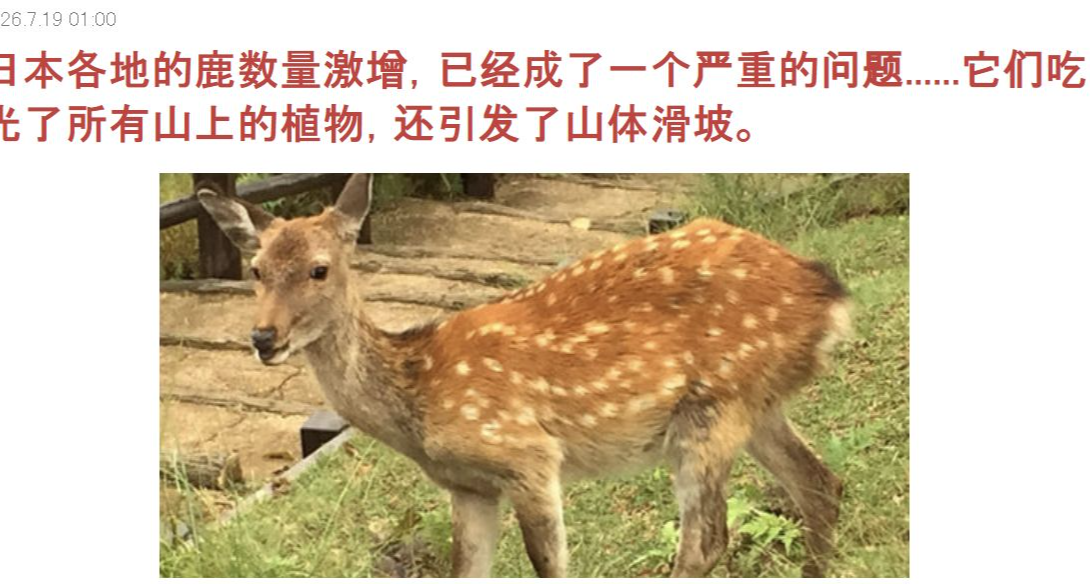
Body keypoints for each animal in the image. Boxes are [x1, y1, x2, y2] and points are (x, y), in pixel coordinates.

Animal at [197, 173, 851, 578]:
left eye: (319, 269)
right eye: (255, 269)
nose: (263, 338)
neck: (419, 399)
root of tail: (828, 294)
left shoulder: (527, 456)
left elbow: (551, 566)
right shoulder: (469, 486)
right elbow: (466, 570)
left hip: (712, 408)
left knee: (707, 541)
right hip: (754, 405)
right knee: (822, 484)